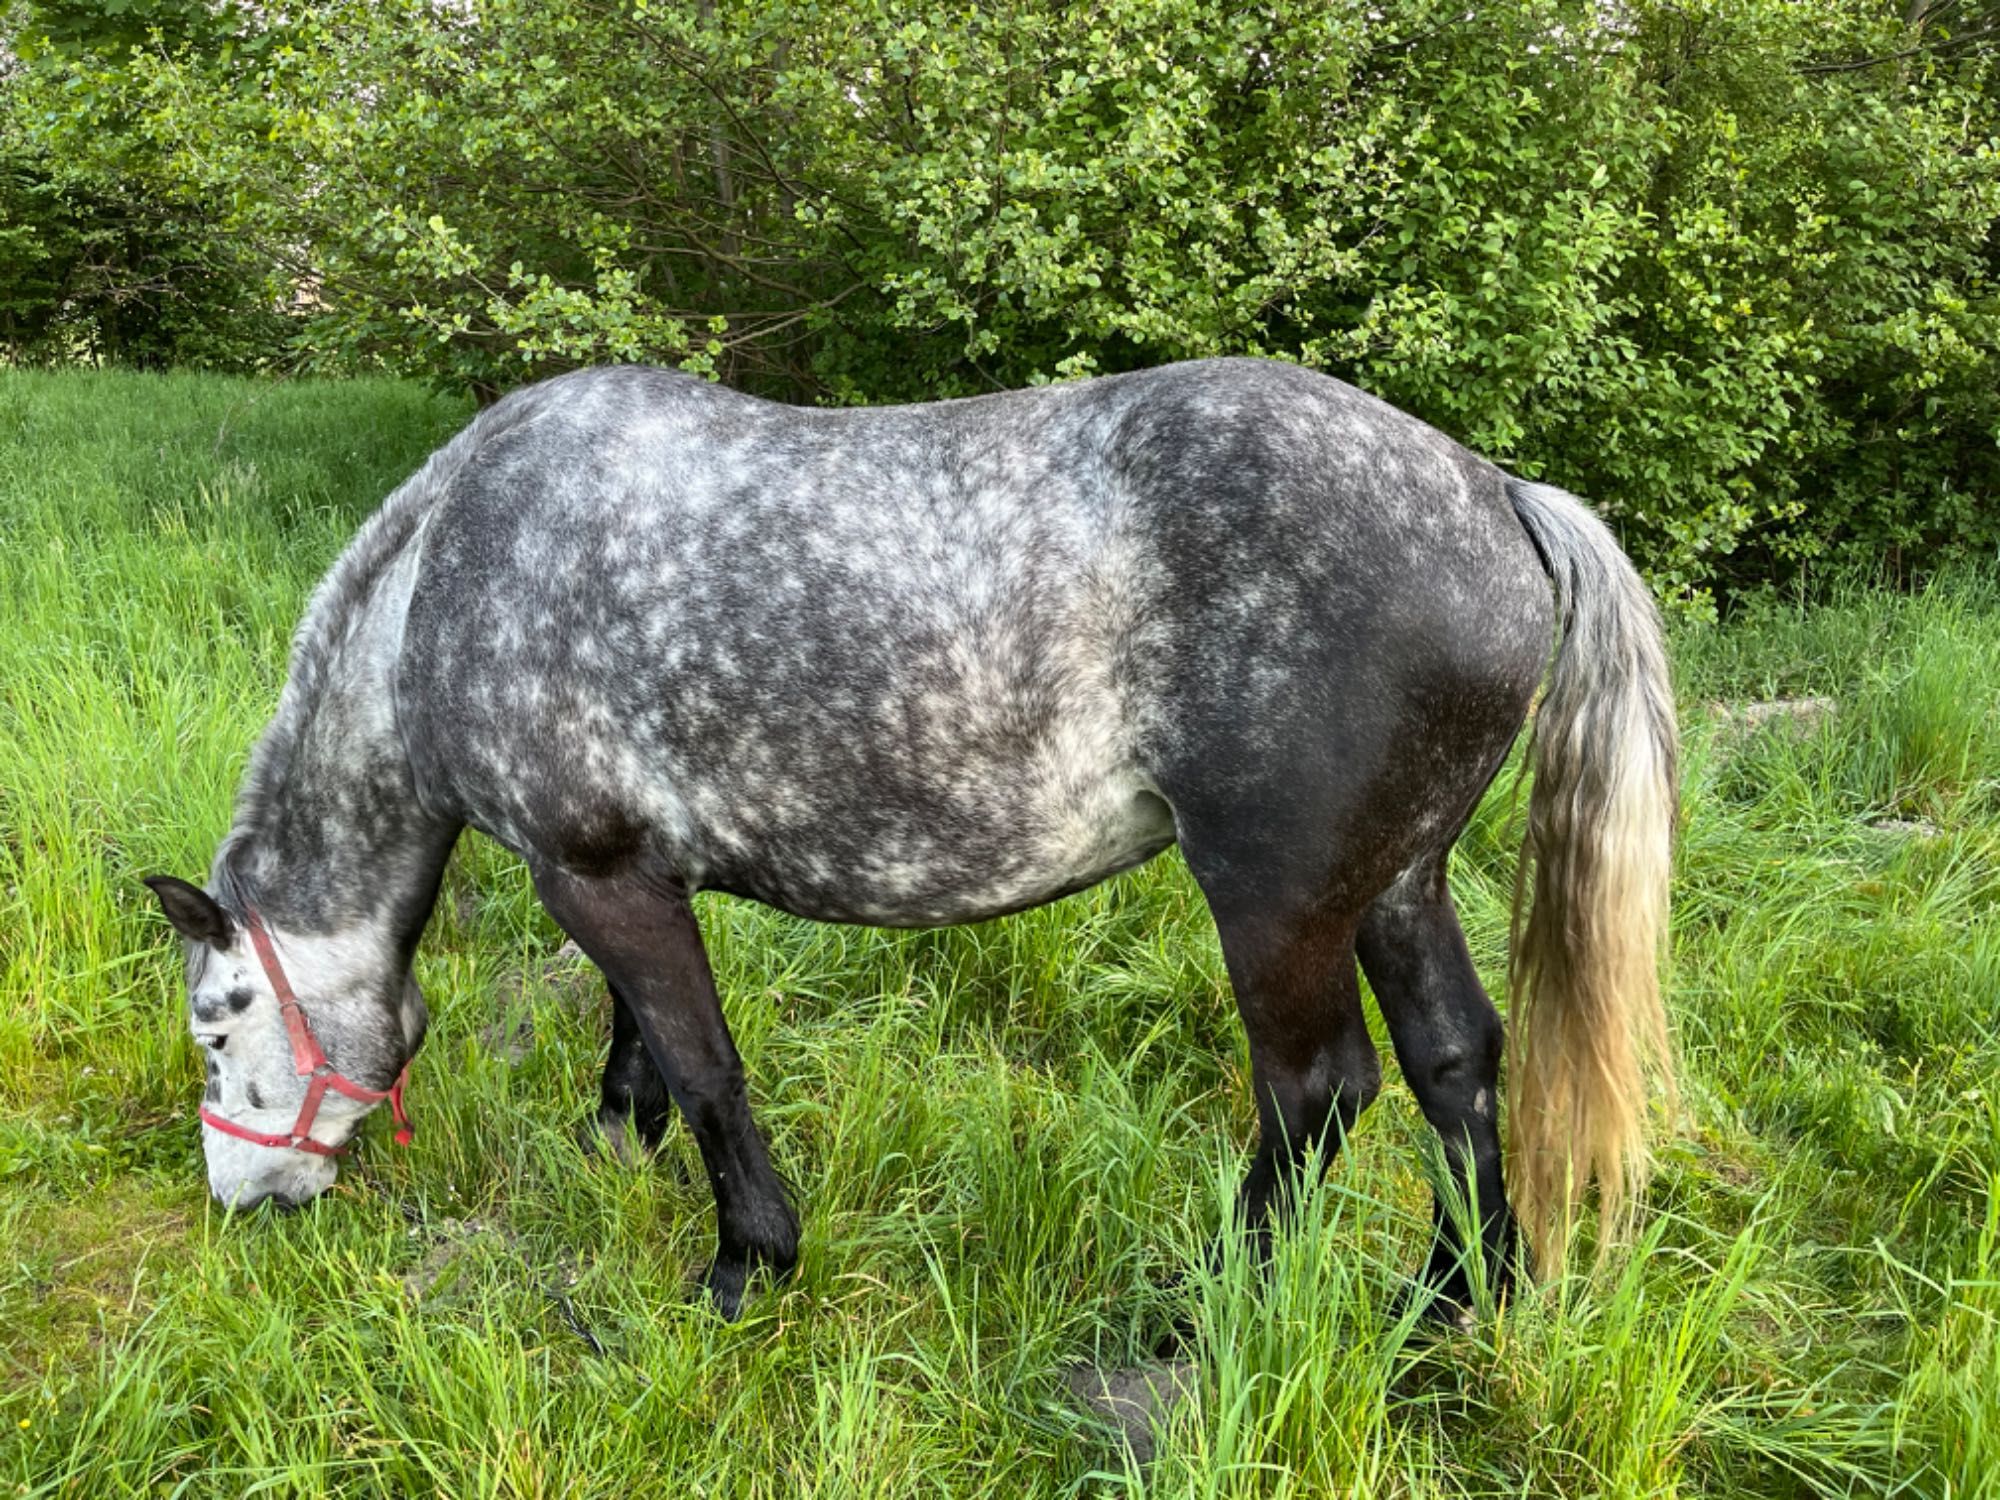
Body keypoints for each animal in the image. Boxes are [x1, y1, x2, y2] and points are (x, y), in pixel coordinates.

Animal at [145, 358, 1672, 1320]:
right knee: (1452, 1063)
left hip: (1278, 901)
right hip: (1397, 881)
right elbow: (638, 1038)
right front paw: (611, 1146)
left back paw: (1208, 1304)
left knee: (1316, 1089)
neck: (452, 571)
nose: (242, 1199)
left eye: (221, 1024)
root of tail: (1493, 492)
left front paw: (746, 1265)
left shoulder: (597, 878)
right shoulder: (620, 876)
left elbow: (704, 1065)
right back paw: (1452, 1305)